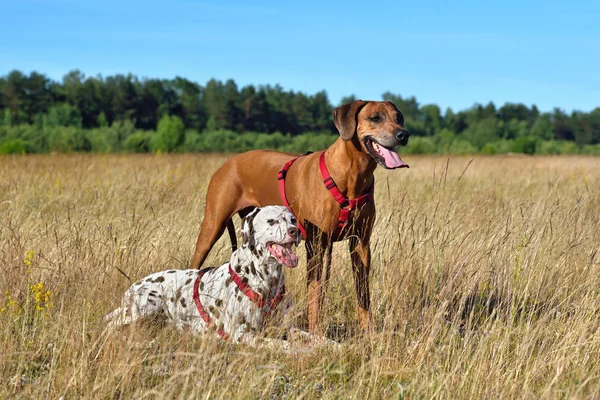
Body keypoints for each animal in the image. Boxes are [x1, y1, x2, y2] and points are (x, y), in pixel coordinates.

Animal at [104, 206, 304, 346]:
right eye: (271, 221)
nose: (294, 230)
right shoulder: (241, 334)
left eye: (292, 219)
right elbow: (283, 345)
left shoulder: (286, 327)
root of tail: (131, 289)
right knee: (109, 327)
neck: (267, 280)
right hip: (148, 305)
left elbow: (307, 336)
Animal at [190, 101, 410, 334]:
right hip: (212, 226)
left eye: (399, 117)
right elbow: (315, 293)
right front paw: (315, 332)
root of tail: (228, 162)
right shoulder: (315, 246)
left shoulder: (360, 243)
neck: (352, 176)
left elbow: (362, 291)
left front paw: (367, 332)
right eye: (375, 118)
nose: (403, 134)